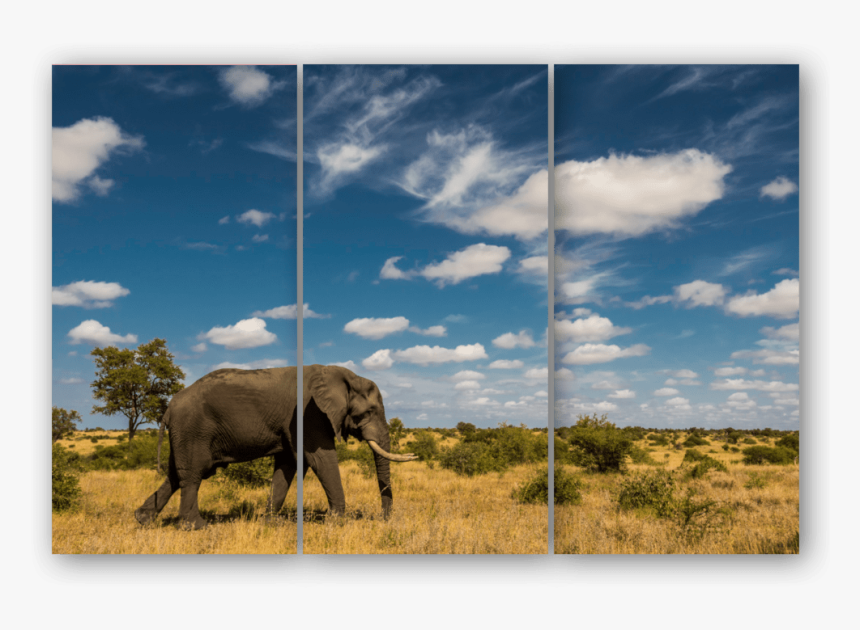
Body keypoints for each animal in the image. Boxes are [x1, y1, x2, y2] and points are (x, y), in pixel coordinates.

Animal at [135, 365, 415, 530]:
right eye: (369, 412)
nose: (384, 520)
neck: (343, 376)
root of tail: (170, 406)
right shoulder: (309, 413)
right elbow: (319, 459)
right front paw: (336, 523)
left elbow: (289, 465)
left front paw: (270, 523)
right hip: (193, 429)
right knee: (193, 474)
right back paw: (197, 527)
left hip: (184, 433)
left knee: (175, 475)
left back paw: (143, 519)